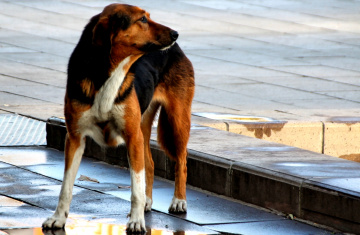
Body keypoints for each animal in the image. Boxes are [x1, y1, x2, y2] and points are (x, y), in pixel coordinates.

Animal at [42, 3, 195, 233]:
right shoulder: (75, 137)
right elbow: (66, 186)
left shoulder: (132, 137)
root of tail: (177, 49)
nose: (176, 33)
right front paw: (58, 219)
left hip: (176, 120)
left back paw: (178, 201)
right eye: (142, 19)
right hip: (143, 127)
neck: (109, 74)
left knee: (182, 162)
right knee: (150, 163)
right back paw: (149, 201)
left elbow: (135, 188)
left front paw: (136, 221)